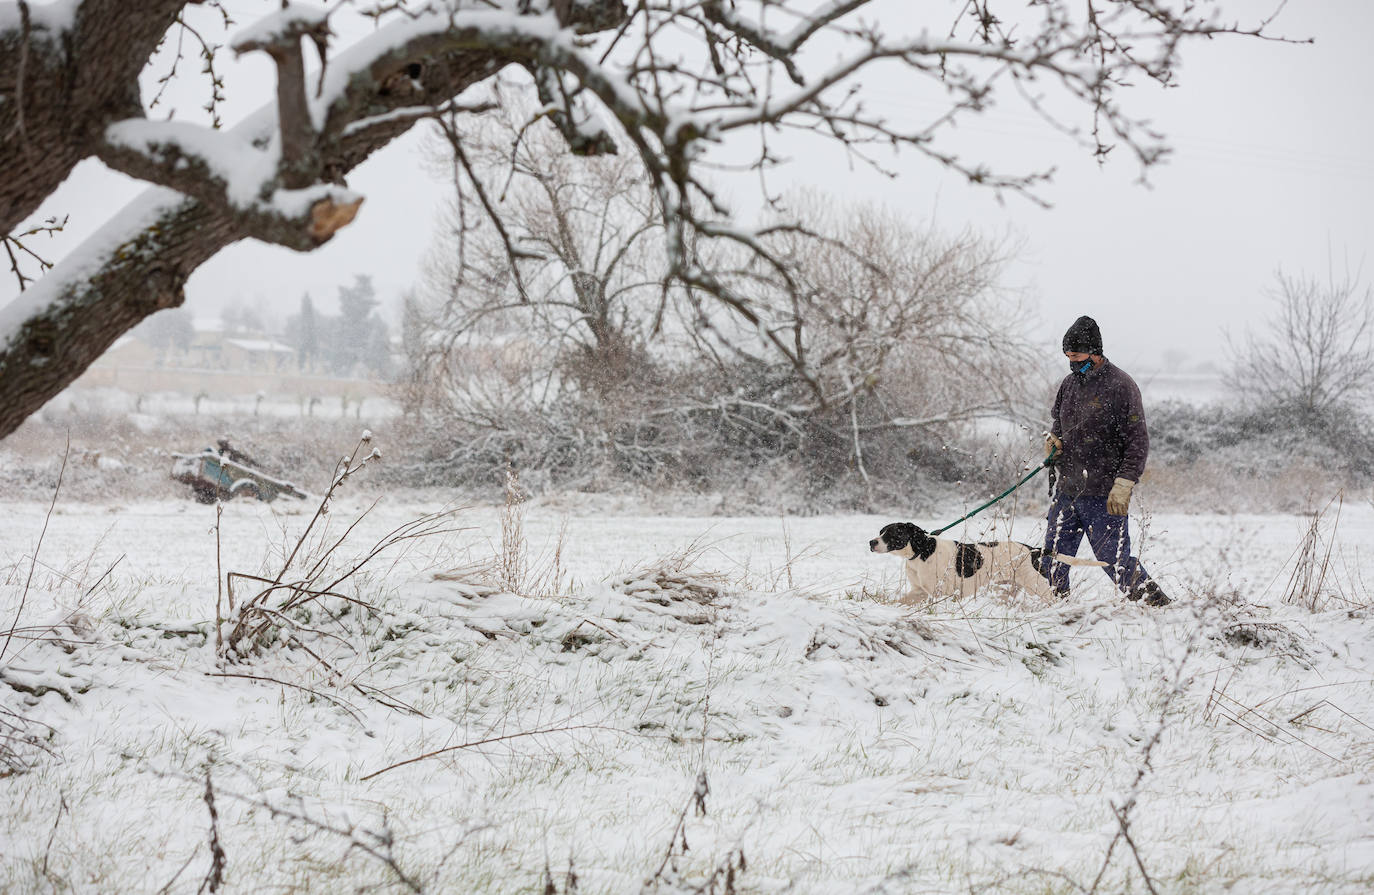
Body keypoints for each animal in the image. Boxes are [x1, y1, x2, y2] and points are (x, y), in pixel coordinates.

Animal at [868, 522, 1104, 604]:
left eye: (892, 533)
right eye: (880, 531)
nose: (871, 542)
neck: (921, 552)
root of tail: (1032, 549)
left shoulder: (941, 593)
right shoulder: (919, 591)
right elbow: (901, 601)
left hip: (1037, 585)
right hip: (1008, 589)